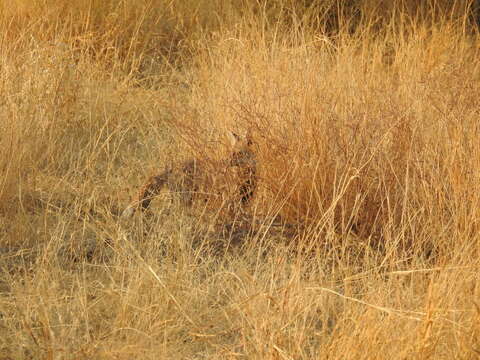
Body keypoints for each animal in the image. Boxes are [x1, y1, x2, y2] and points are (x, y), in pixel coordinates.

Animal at [122, 131, 256, 218]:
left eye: (238, 153)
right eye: (231, 152)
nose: (226, 162)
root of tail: (172, 165)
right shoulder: (230, 198)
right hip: (185, 197)